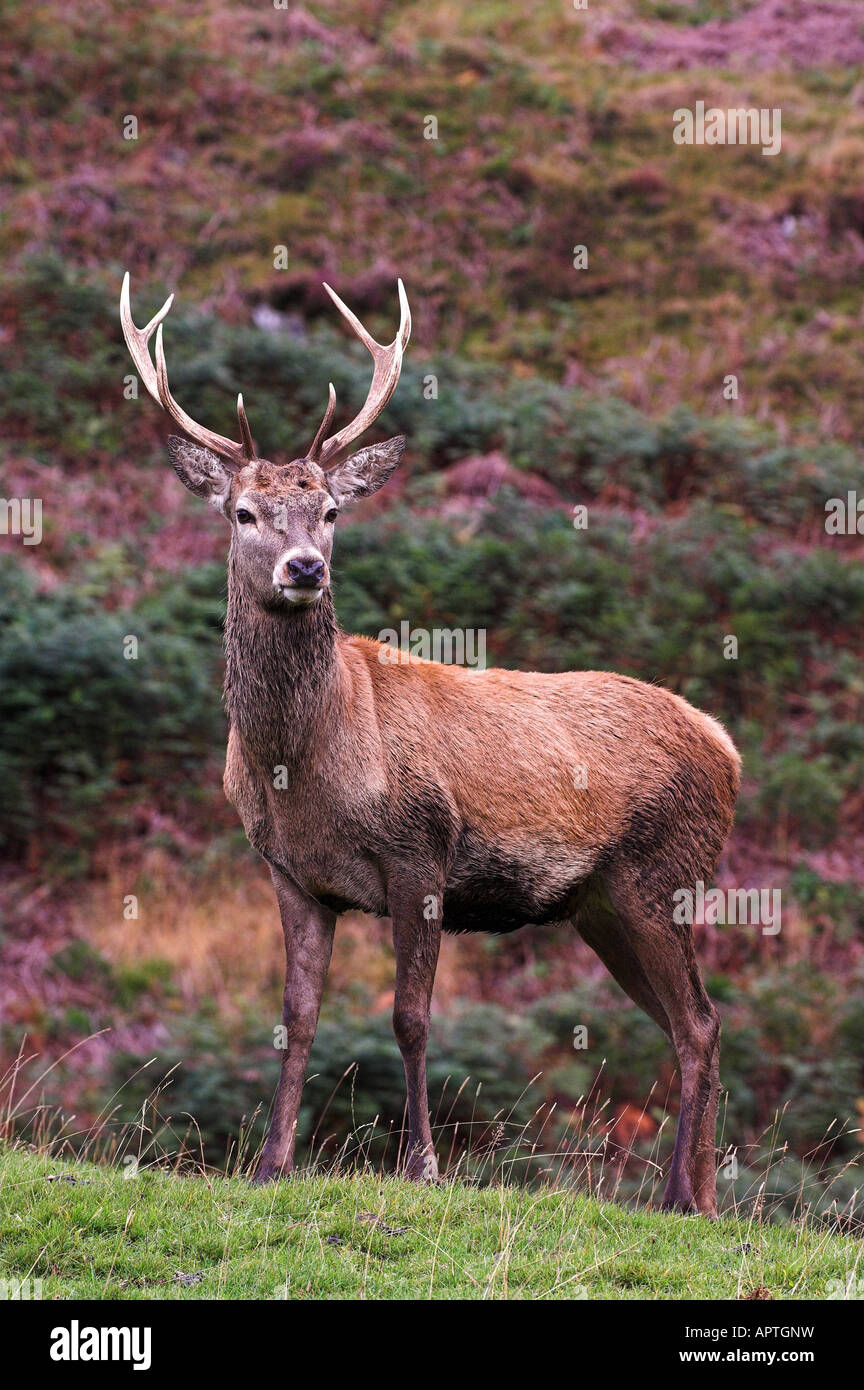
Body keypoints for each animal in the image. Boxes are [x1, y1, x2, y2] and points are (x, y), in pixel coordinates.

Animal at [122, 271, 744, 1217]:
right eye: (244, 512)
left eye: (330, 510)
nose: (305, 568)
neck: (301, 766)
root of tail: (727, 745)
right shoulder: (290, 873)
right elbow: (297, 1015)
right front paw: (271, 1162)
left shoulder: (421, 850)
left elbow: (409, 1017)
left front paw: (421, 1164)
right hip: (603, 903)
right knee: (686, 1023)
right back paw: (688, 1193)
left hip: (662, 875)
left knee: (702, 1021)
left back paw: (689, 1198)